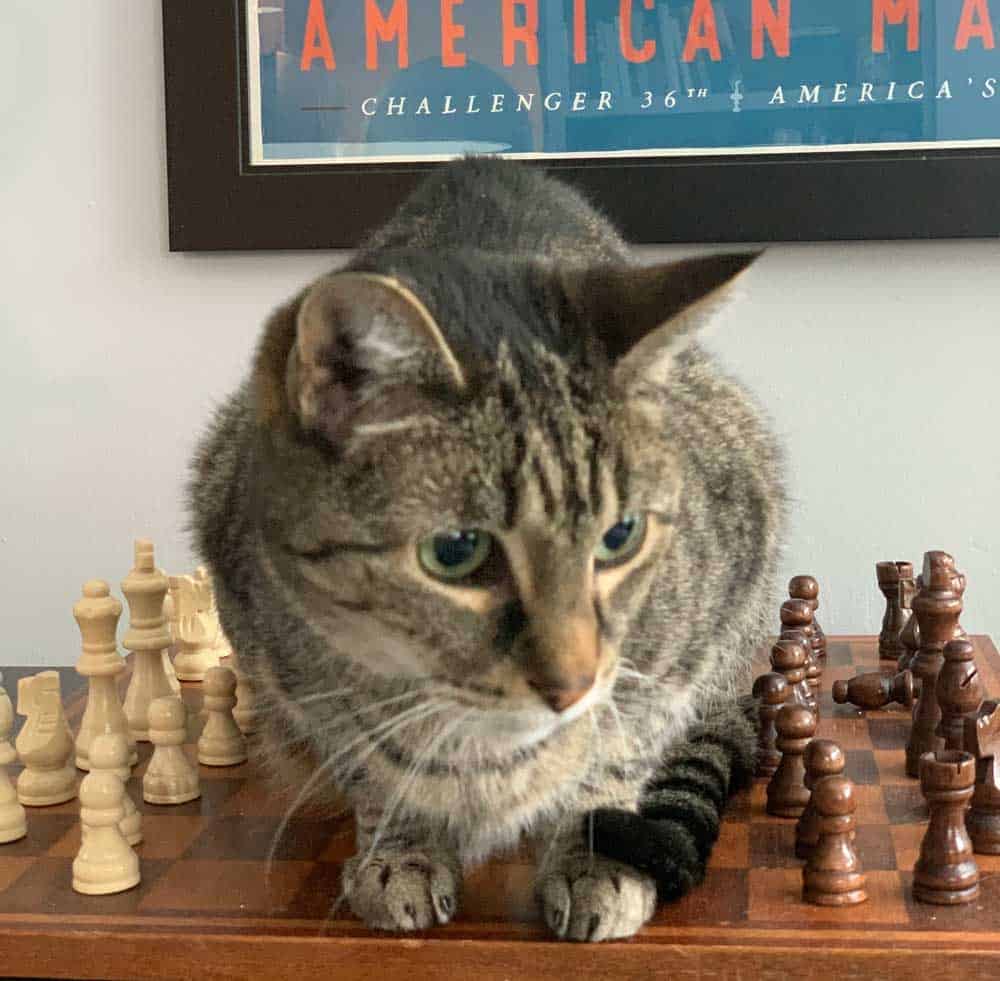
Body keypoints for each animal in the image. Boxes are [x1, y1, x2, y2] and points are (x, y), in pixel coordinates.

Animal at [188, 159, 780, 940]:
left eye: (620, 535)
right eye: (455, 551)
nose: (571, 684)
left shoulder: (695, 631)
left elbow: (620, 749)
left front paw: (591, 851)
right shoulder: (279, 660)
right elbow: (367, 763)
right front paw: (400, 848)